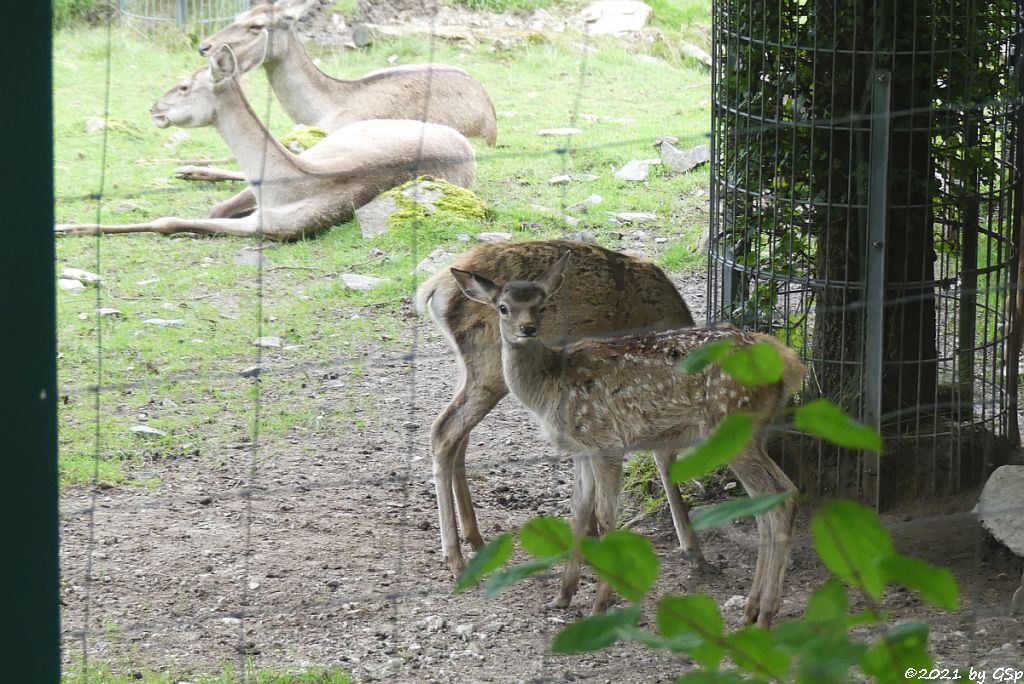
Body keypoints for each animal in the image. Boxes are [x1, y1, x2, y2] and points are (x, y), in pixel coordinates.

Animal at [59, 46, 479, 239]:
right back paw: (188, 170)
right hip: (335, 139)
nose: (154, 110)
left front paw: (68, 227)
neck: (288, 187)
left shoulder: (271, 228)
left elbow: (171, 220)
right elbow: (210, 209)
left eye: (184, 86)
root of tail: (465, 144)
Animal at [177, 0, 499, 184]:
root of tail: (491, 117)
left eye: (257, 25)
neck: (323, 109)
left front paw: (188, 168)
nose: (204, 46)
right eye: (239, 15)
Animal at [415, 237, 720, 581]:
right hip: (489, 367)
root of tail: (434, 290)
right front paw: (695, 553)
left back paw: (475, 538)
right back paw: (454, 557)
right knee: (444, 430)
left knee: (459, 437)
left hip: (469, 369)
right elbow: (662, 458)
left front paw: (589, 536)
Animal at [452, 250, 802, 626]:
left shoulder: (606, 442)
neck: (550, 387)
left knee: (779, 496)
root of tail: (790, 363)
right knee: (771, 500)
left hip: (732, 425)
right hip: (751, 433)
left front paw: (600, 604)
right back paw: (753, 608)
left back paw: (765, 613)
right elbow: (578, 511)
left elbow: (606, 517)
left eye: (542, 306)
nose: (527, 328)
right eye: (503, 307)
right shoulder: (581, 449)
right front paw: (561, 597)